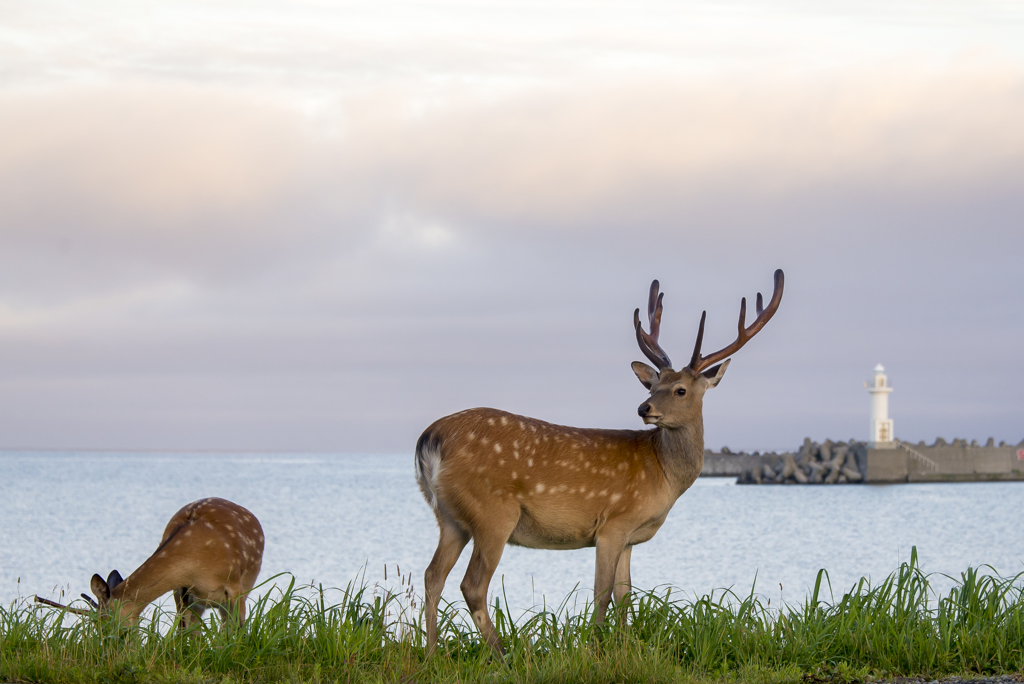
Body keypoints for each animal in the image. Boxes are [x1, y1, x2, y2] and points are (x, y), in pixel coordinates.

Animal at [415, 270, 782, 655]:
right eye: (653, 386)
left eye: (679, 389)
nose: (644, 408)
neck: (663, 474)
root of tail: (430, 439)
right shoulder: (612, 523)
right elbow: (602, 595)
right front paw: (593, 649)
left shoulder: (630, 536)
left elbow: (625, 596)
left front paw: (622, 648)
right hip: (493, 512)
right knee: (472, 585)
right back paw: (503, 656)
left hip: (450, 517)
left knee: (432, 575)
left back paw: (432, 653)